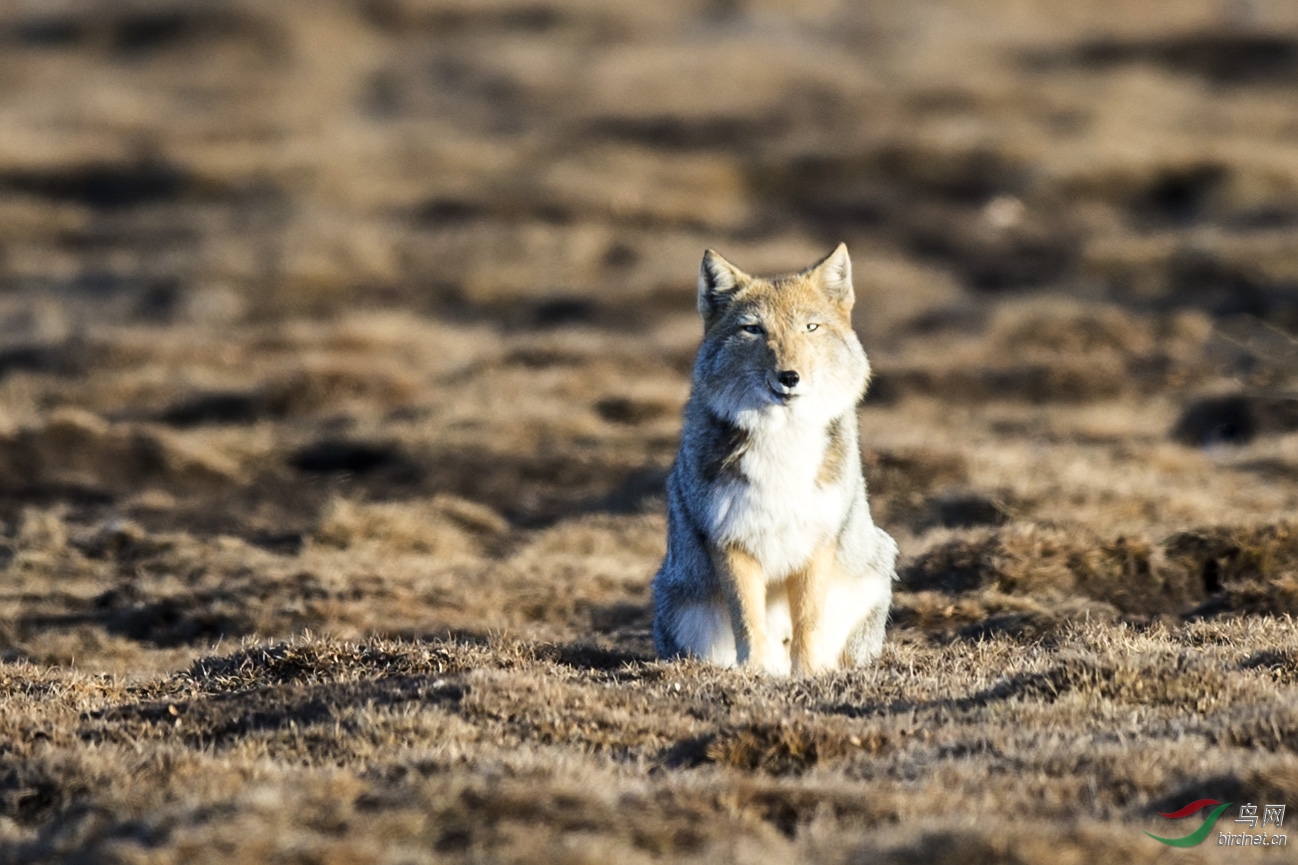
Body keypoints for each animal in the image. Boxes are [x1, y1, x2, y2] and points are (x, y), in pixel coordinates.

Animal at [654, 242, 898, 675]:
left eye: (810, 328)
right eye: (753, 329)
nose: (789, 377)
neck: (782, 443)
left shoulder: (817, 541)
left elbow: (809, 620)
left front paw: (809, 674)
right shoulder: (731, 541)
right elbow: (748, 621)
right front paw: (754, 673)